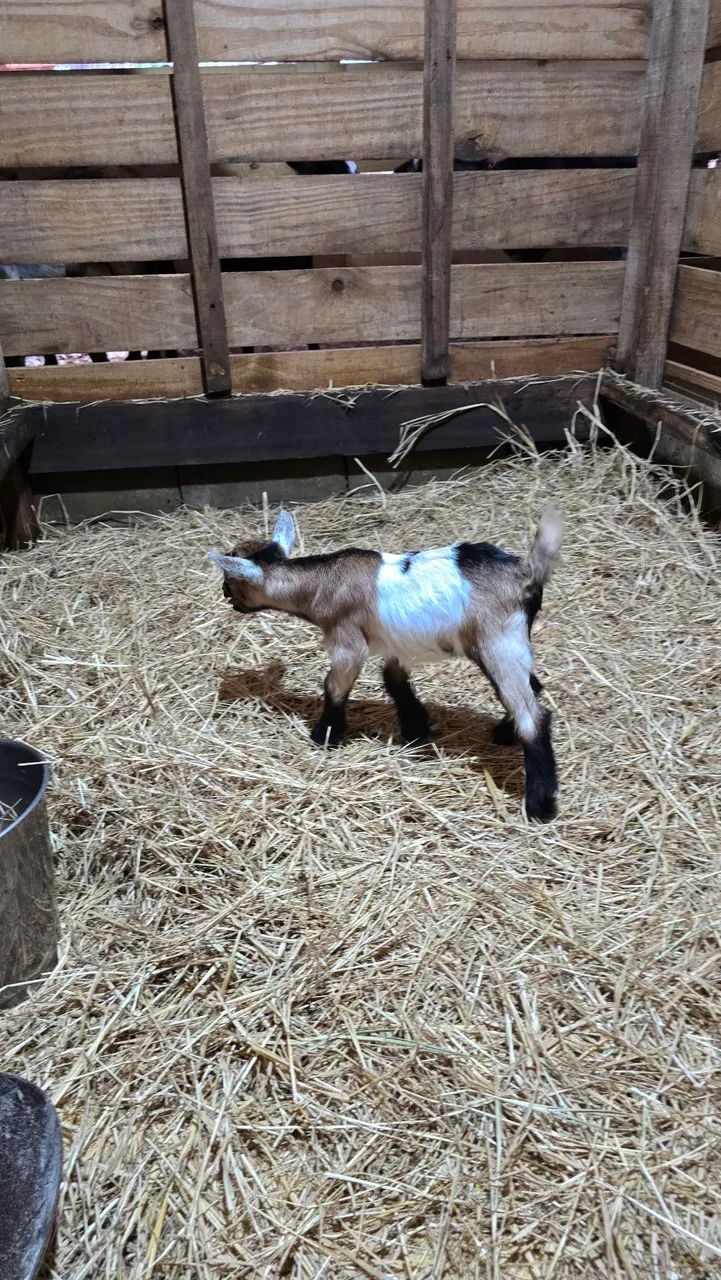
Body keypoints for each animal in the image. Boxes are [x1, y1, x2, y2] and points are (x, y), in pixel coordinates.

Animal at [209, 509, 562, 821]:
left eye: (230, 579)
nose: (225, 595)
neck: (320, 584)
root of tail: (527, 573)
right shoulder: (394, 644)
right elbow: (394, 682)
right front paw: (416, 730)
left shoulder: (347, 643)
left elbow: (334, 686)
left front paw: (324, 735)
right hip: (511, 644)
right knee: (533, 686)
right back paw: (504, 732)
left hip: (498, 642)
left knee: (532, 715)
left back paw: (540, 805)